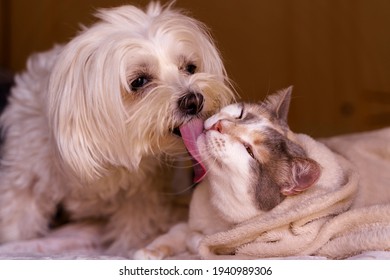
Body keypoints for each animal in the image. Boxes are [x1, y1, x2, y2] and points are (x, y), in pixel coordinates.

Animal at [133, 87, 324, 260]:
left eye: (249, 151)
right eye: (240, 114)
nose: (219, 126)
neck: (214, 205)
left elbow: (199, 241)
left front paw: (195, 240)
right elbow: (177, 231)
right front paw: (149, 250)